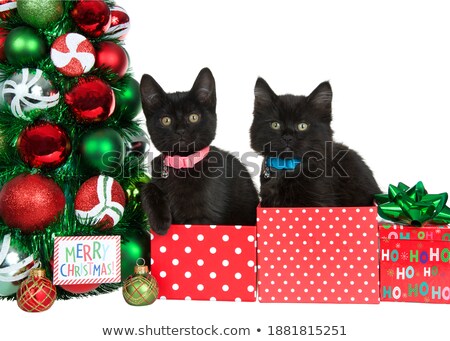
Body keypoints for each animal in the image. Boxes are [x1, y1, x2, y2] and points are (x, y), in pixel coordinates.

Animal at [139, 68, 258, 235]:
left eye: (194, 117)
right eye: (166, 120)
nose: (181, 131)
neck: (183, 164)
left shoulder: (201, 218)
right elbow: (147, 186)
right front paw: (159, 223)